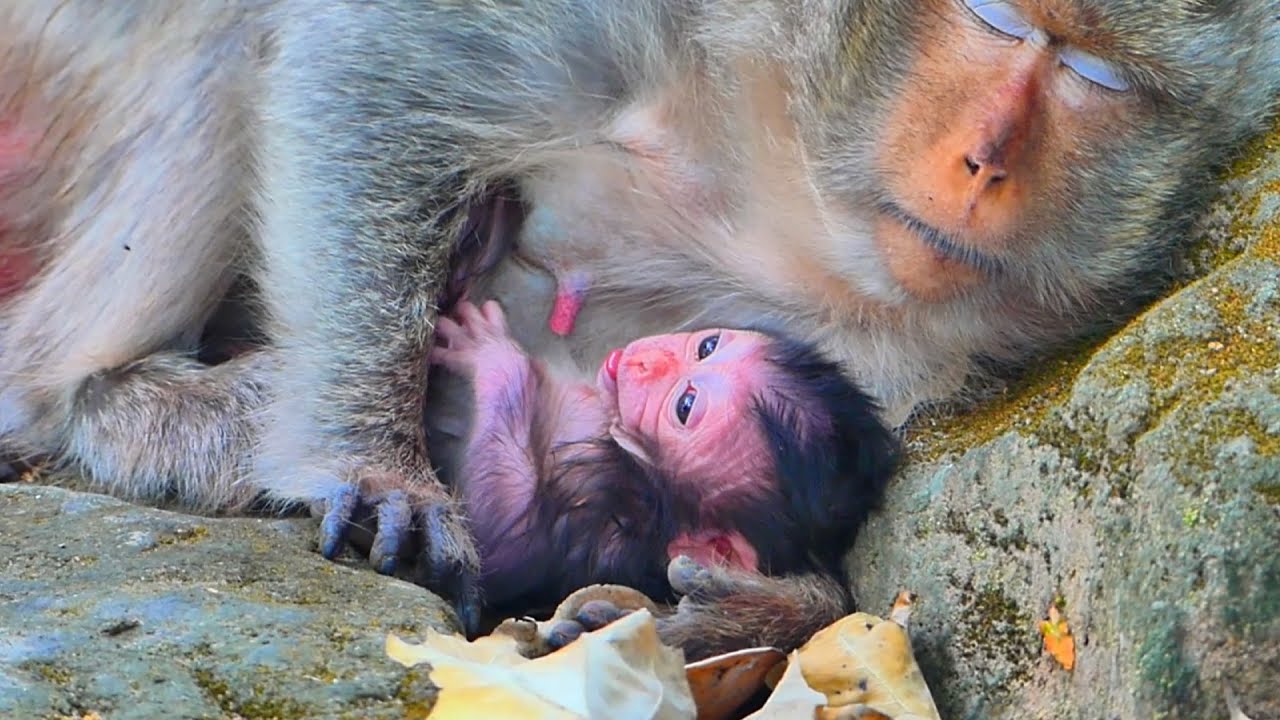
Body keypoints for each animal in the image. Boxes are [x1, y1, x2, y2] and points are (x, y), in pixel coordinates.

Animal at [423, 299, 898, 630]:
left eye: (685, 406)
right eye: (707, 346)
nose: (646, 360)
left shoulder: (606, 521)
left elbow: (502, 546)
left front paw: (495, 357)